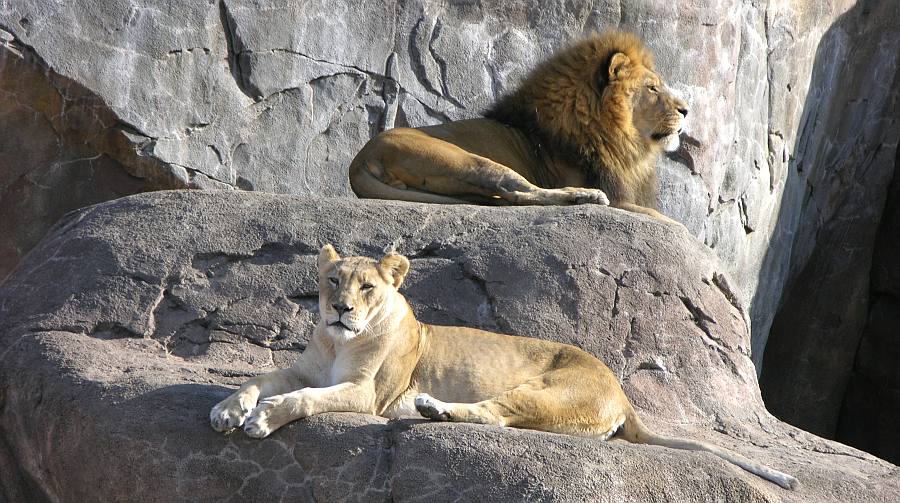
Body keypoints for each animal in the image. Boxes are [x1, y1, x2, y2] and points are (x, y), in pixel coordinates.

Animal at [213, 246, 800, 490]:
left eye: (368, 288)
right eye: (333, 281)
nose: (340, 309)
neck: (338, 344)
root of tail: (622, 391)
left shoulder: (365, 395)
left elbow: (302, 400)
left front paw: (262, 418)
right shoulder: (306, 370)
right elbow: (259, 380)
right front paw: (227, 409)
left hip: (544, 390)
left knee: (492, 415)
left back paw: (431, 407)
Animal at [348, 29, 684, 222]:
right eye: (652, 88)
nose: (686, 110)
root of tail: (359, 161)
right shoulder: (621, 200)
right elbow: (673, 223)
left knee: (508, 197)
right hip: (464, 159)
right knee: (515, 190)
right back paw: (585, 196)